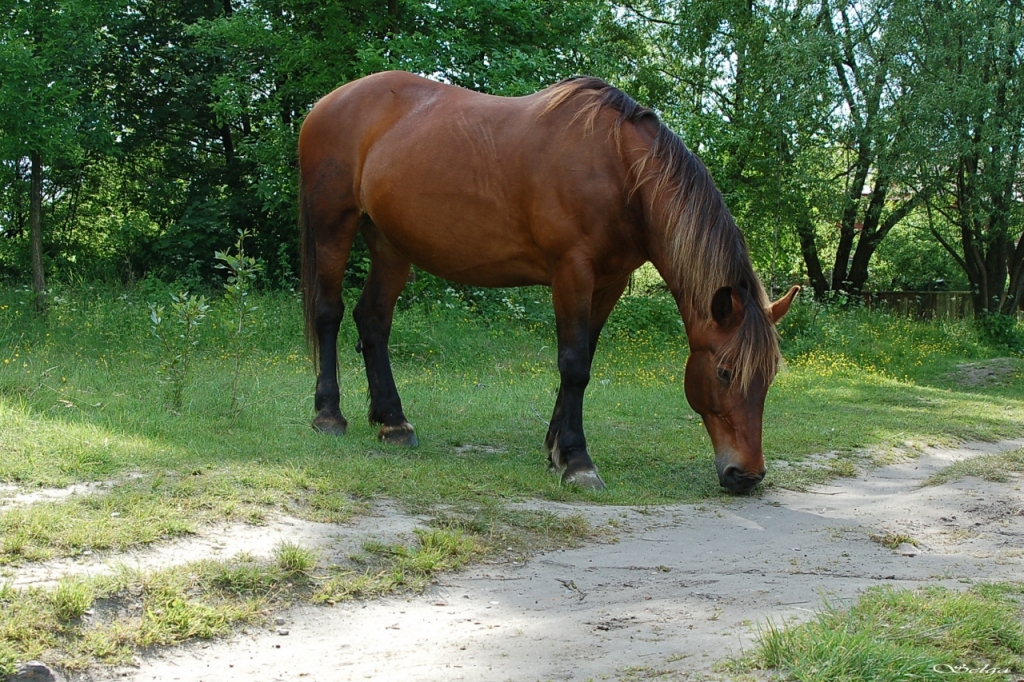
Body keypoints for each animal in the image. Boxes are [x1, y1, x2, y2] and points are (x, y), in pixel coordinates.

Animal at [299, 70, 798, 489]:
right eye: (725, 372)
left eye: (770, 376)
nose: (747, 475)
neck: (620, 169)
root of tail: (328, 102)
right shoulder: (572, 271)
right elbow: (574, 364)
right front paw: (577, 461)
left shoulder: (610, 281)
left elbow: (584, 360)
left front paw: (556, 448)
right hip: (334, 226)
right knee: (329, 313)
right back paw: (329, 416)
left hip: (390, 245)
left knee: (373, 322)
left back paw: (393, 422)